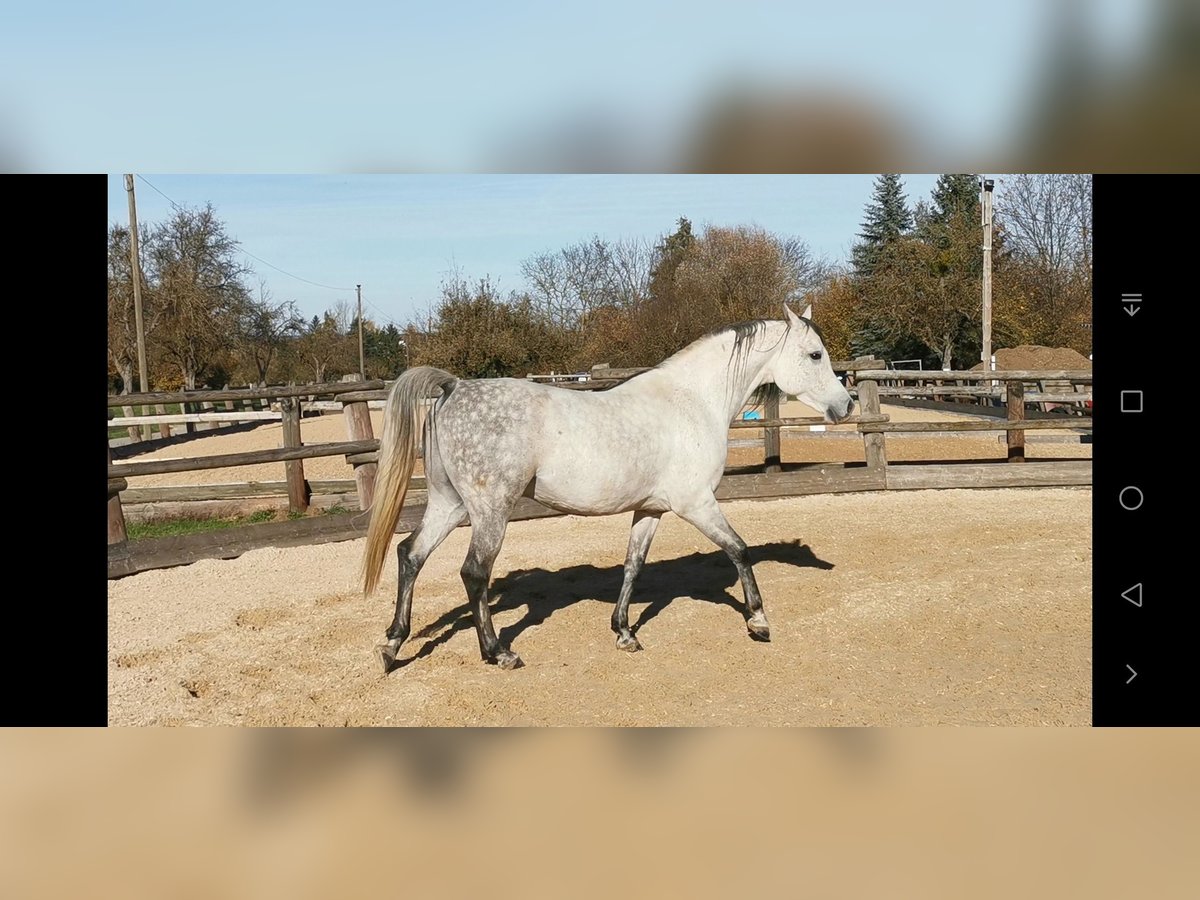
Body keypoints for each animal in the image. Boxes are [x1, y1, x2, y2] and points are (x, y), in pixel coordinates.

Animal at [361, 303, 854, 672]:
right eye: (815, 355)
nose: (846, 406)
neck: (693, 400)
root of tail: (453, 387)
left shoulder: (651, 509)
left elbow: (633, 566)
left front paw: (624, 632)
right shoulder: (695, 503)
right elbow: (739, 550)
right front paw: (758, 621)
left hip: (449, 505)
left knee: (410, 555)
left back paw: (391, 645)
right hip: (489, 511)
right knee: (474, 574)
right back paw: (498, 653)